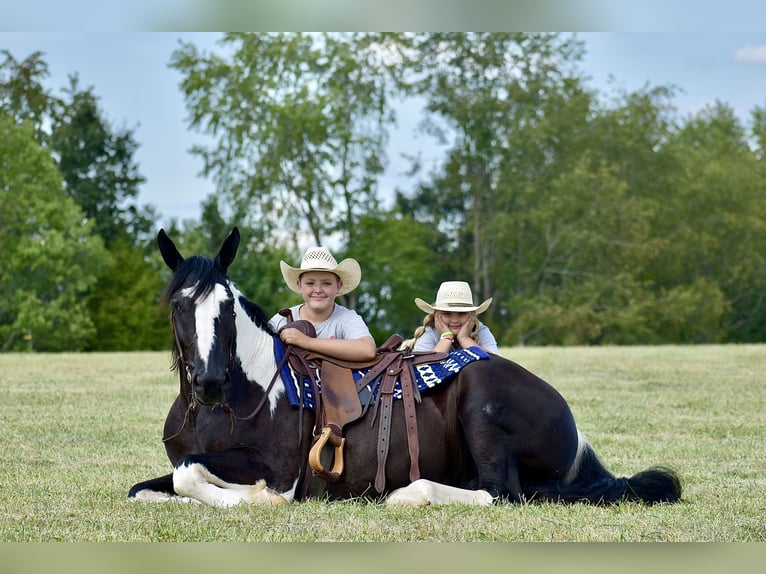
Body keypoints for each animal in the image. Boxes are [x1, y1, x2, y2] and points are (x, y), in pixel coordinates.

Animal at [130, 230, 684, 508]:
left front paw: (253, 497)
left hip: (483, 411)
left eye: (226, 307)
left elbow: (194, 475)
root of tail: (572, 428)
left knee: (500, 494)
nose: (209, 382)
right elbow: (151, 488)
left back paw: (407, 493)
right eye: (178, 305)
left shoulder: (280, 469)